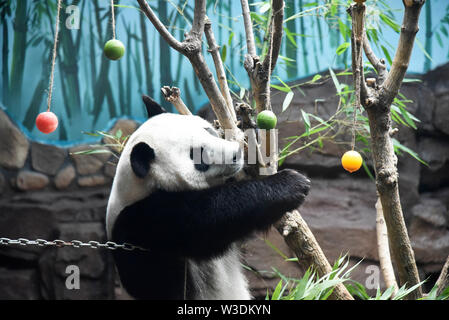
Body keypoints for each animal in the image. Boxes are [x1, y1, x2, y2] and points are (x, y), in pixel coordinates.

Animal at [106, 95, 310, 300]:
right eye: (198, 155)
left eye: (208, 130)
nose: (236, 154)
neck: (140, 186)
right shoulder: (145, 221)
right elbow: (210, 219)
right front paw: (291, 183)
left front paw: (250, 135)